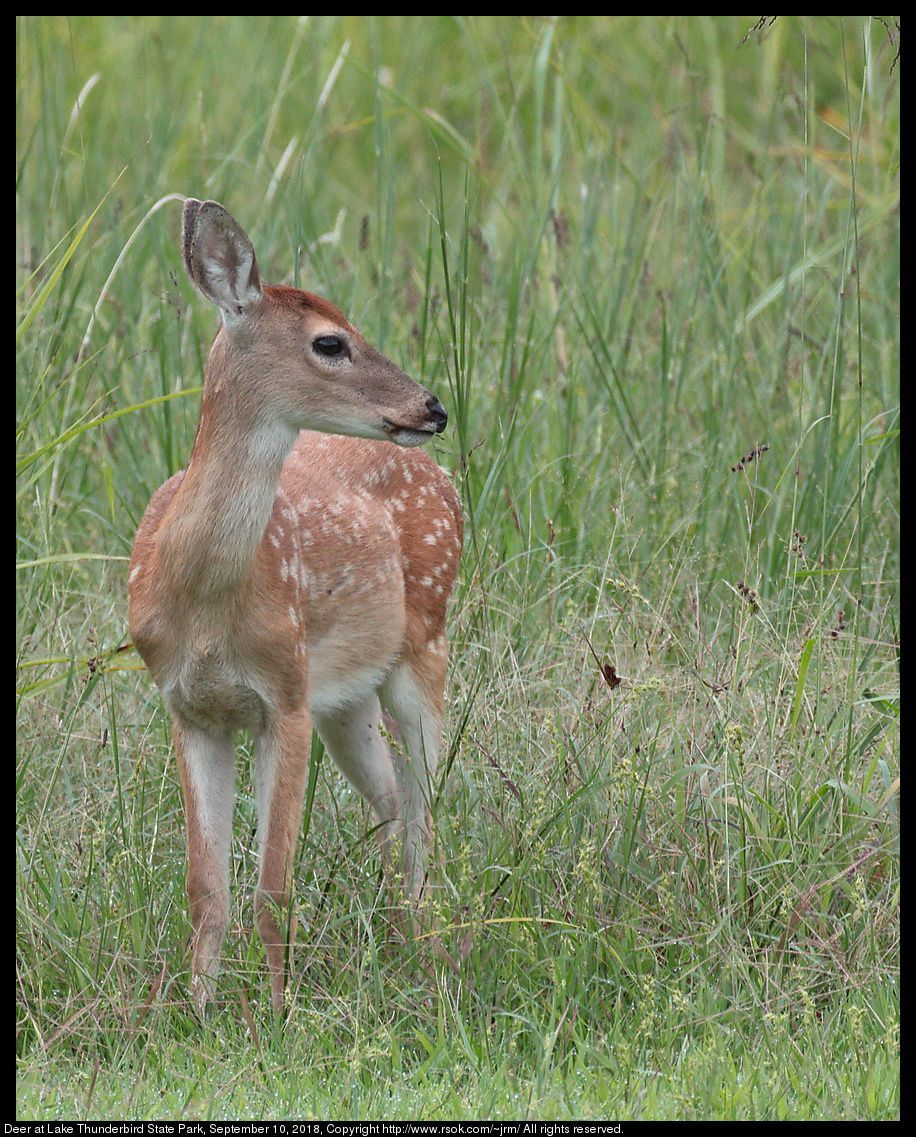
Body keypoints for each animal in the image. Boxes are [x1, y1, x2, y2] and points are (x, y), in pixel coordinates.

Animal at [128, 200, 465, 1018]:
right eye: (329, 341)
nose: (433, 406)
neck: (206, 609)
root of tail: (445, 479)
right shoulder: (191, 709)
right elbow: (207, 889)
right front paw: (198, 1012)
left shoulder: (282, 695)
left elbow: (271, 889)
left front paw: (276, 1015)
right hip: (343, 698)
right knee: (389, 800)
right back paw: (398, 942)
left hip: (425, 644)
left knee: (424, 809)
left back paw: (429, 953)